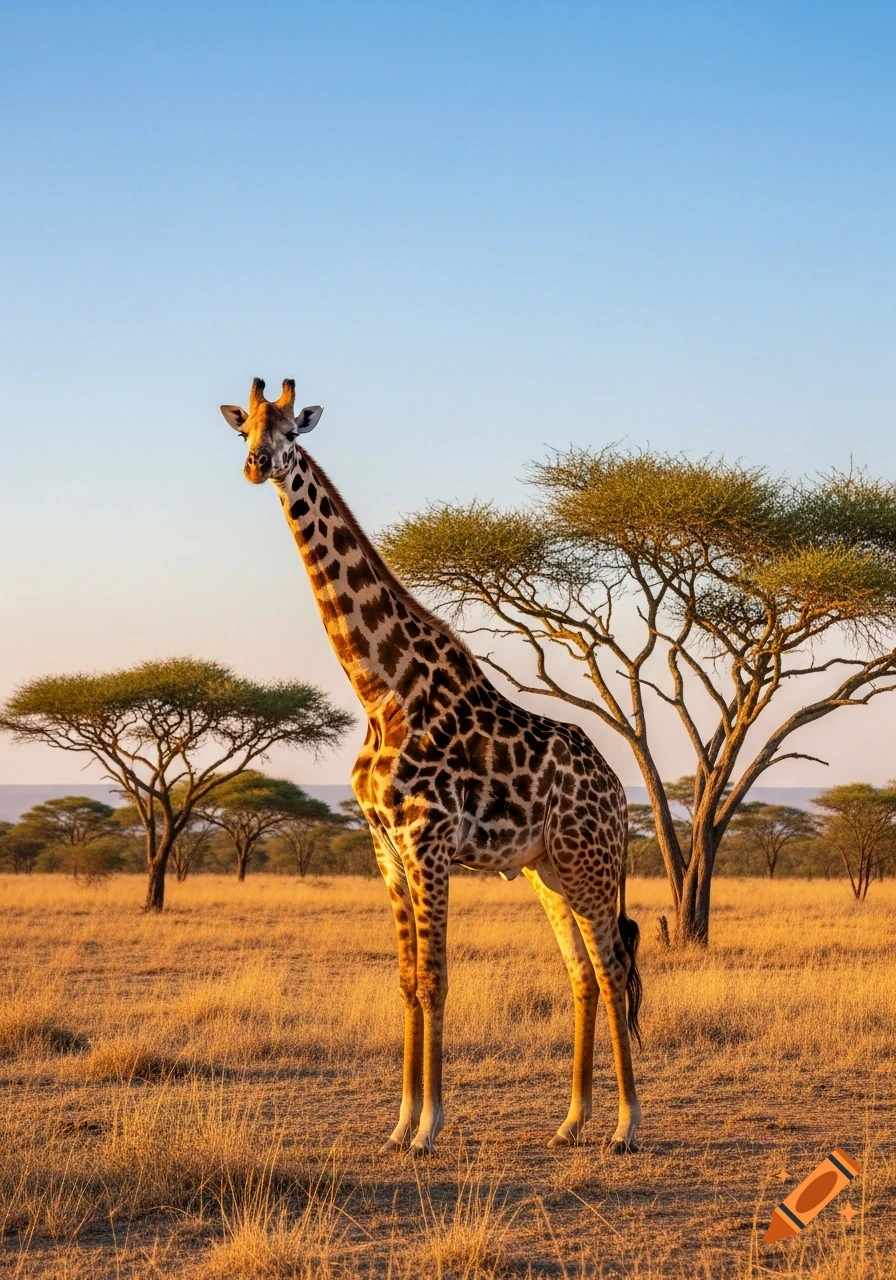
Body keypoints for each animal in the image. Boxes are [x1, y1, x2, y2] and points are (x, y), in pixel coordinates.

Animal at [221, 377, 643, 1156]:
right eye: (244, 430)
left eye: (293, 428)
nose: (259, 465)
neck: (380, 689)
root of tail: (619, 791)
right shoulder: (385, 847)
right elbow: (408, 981)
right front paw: (399, 1125)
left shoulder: (429, 841)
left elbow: (438, 980)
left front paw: (429, 1129)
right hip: (548, 870)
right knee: (581, 974)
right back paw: (573, 1120)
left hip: (591, 863)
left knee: (613, 967)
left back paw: (627, 1126)